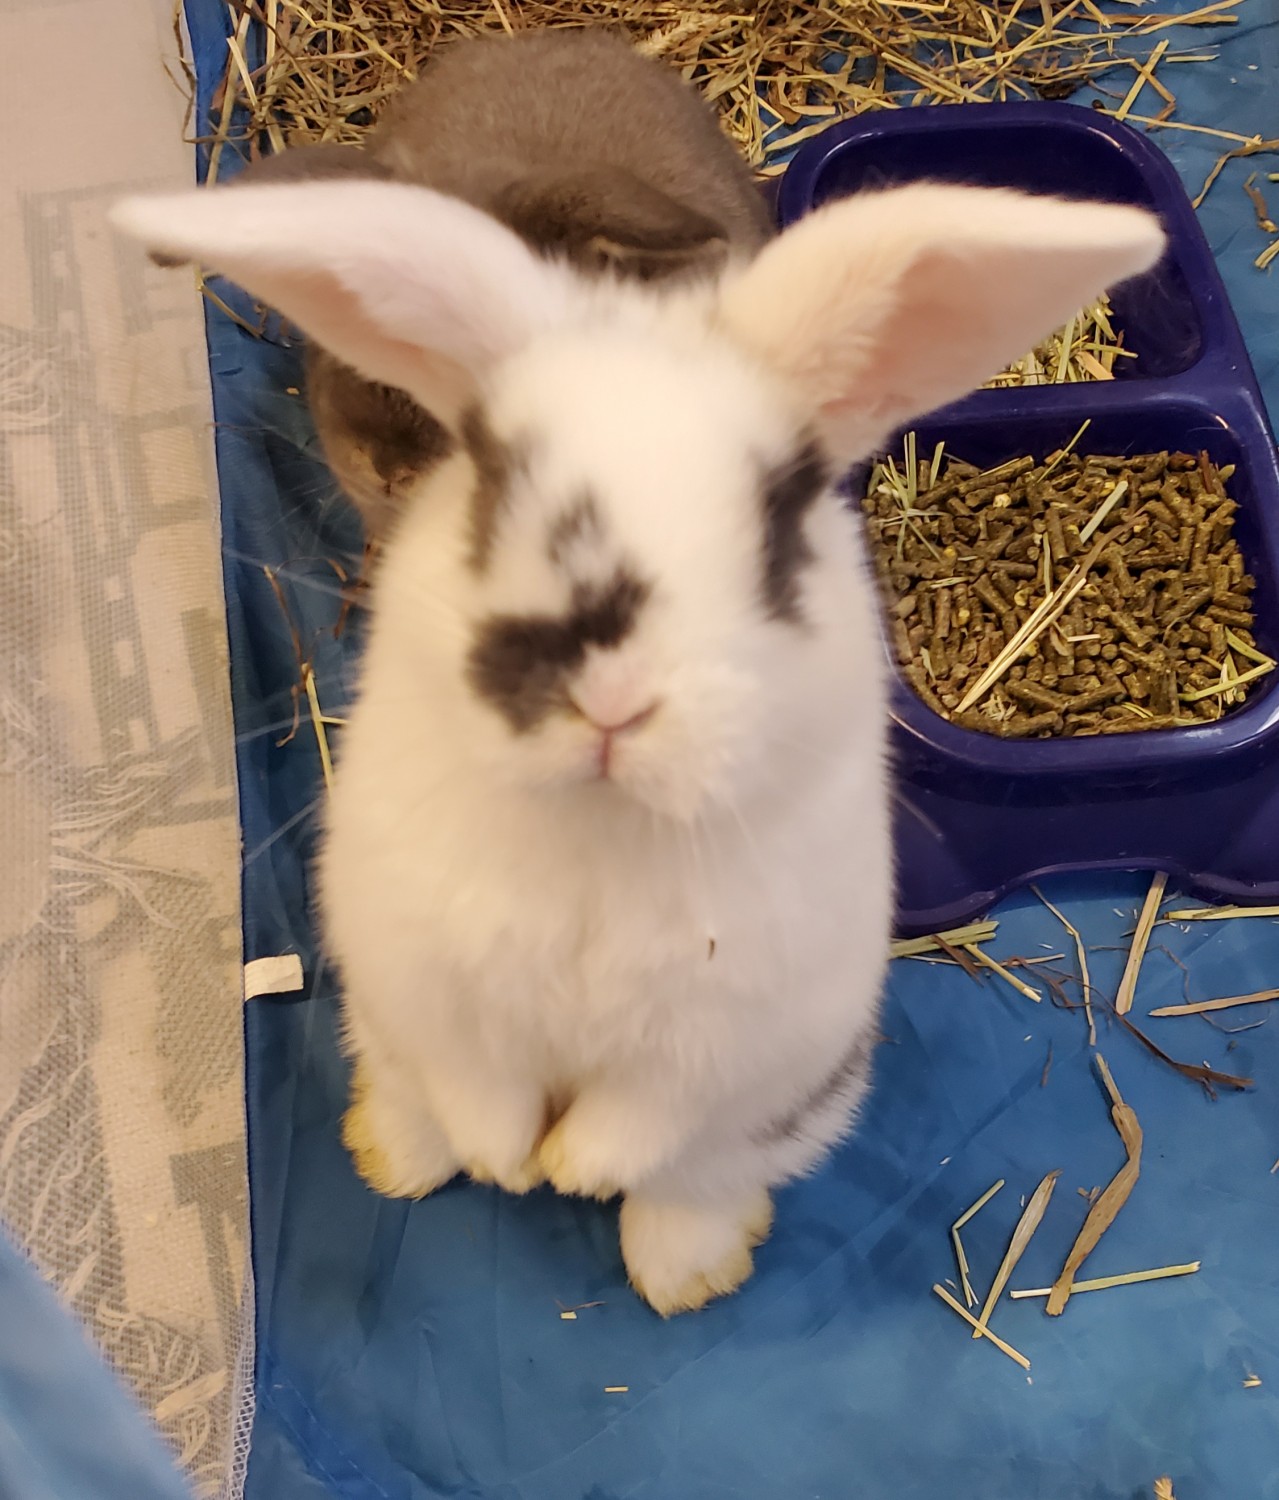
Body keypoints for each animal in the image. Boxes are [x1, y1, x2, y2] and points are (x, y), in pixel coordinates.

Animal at [114, 172, 1163, 1314]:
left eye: (778, 521)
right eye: (490, 479)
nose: (610, 698)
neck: (599, 826)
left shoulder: (714, 1032)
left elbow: (639, 1121)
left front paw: (568, 1169)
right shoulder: (437, 984)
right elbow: (477, 1088)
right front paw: (507, 1161)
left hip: (793, 1099)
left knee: (699, 1180)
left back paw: (690, 1274)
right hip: (378, 1025)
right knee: (412, 1098)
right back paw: (394, 1159)